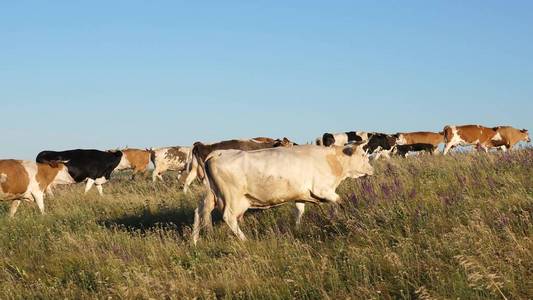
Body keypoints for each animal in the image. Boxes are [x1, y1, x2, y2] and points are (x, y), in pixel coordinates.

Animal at [192, 143, 374, 244]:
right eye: (363, 155)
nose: (372, 169)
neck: (332, 160)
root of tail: (218, 153)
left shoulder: (301, 194)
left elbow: (300, 211)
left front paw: (296, 228)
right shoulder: (322, 189)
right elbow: (340, 201)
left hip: (212, 195)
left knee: (200, 211)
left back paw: (194, 241)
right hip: (233, 198)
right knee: (228, 217)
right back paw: (245, 240)